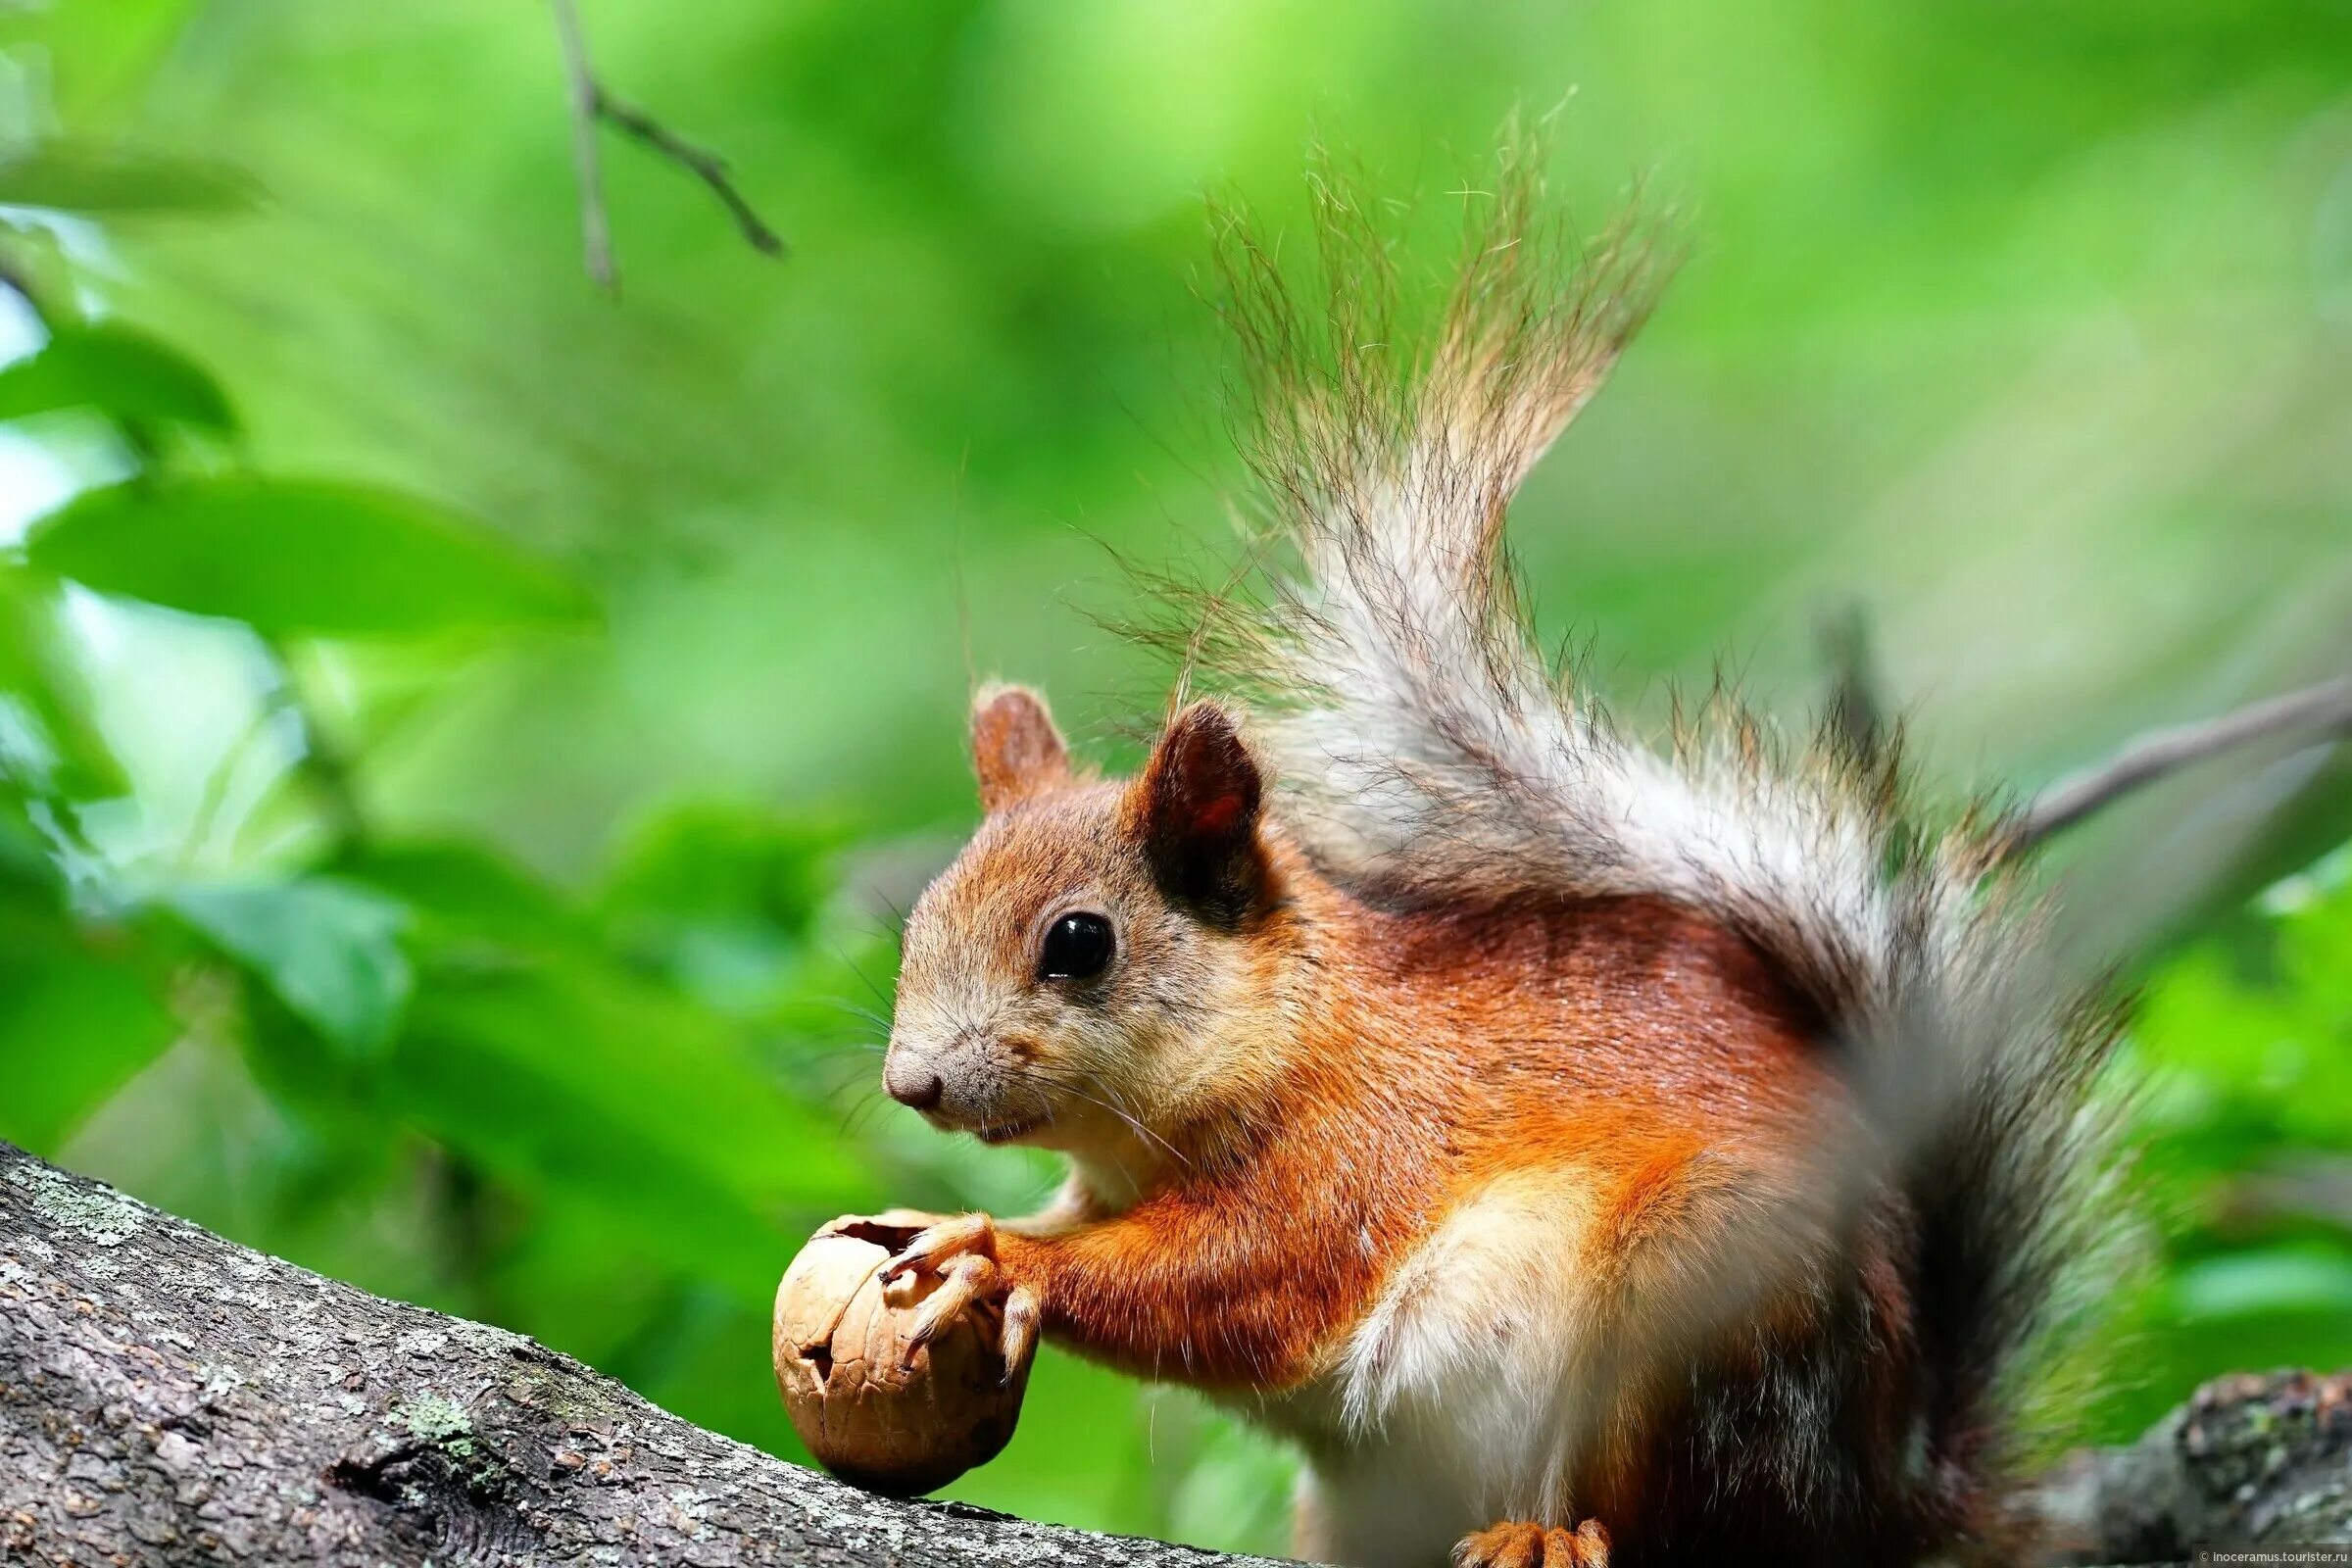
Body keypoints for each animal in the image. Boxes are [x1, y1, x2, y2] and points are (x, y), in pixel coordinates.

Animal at [865, 137, 2117, 1568]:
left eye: (1079, 943)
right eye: (922, 915)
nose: (910, 1084)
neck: (1288, 1033)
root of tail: (1886, 1499)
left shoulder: (1350, 1163)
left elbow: (1229, 1286)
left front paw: (1001, 1256)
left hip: (1705, 1297)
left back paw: (1552, 1535)